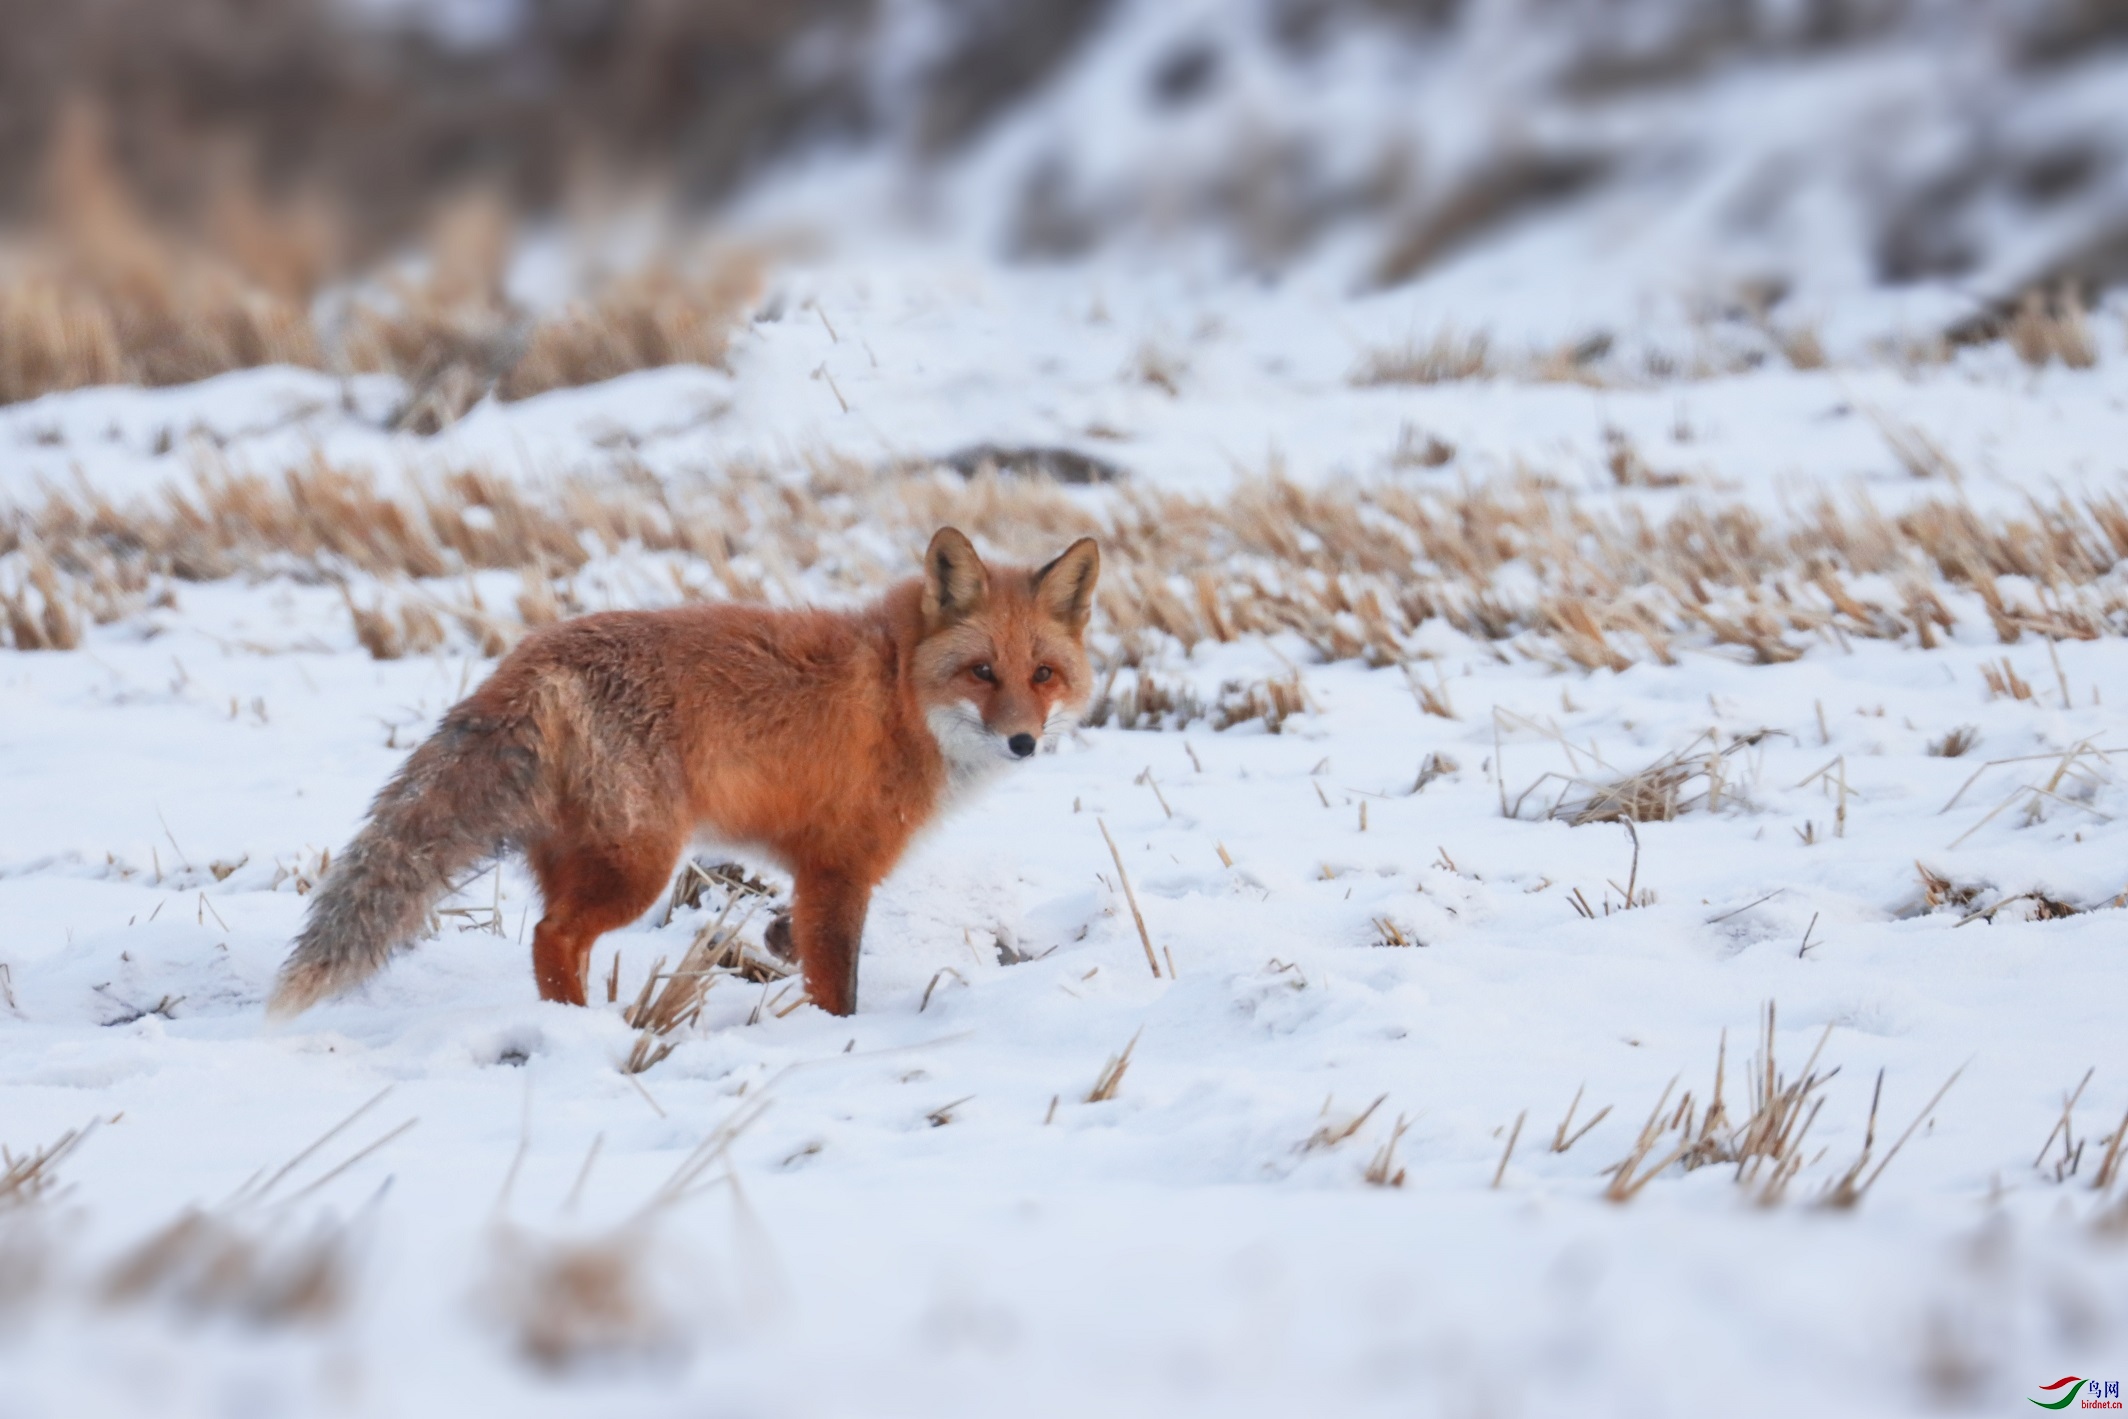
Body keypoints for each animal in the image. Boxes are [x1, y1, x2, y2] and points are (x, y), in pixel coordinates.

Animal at [266, 529, 1098, 1021]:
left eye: (1044, 674)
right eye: (981, 671)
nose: (1023, 741)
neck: (899, 690)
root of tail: (530, 658)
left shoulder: (810, 873)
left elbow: (794, 939)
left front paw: (774, 945)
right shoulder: (840, 867)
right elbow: (839, 985)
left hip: (580, 856)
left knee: (554, 939)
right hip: (642, 865)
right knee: (551, 935)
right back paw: (575, 1031)